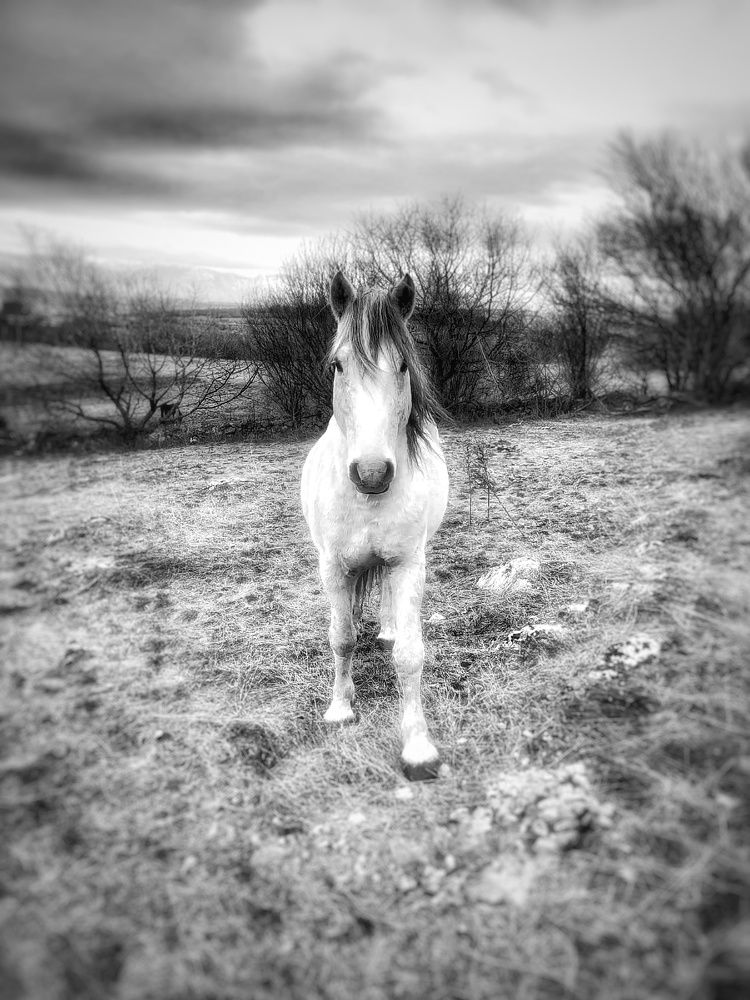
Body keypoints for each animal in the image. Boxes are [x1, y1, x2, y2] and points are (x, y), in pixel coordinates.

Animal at [301, 271, 449, 780]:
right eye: (337, 366)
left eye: (403, 365)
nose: (371, 473)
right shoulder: (333, 568)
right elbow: (342, 638)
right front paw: (340, 709)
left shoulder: (408, 564)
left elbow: (410, 655)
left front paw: (419, 747)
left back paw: (387, 630)